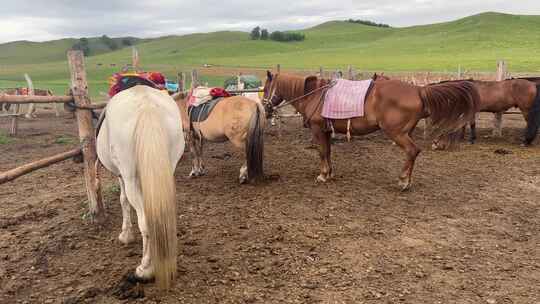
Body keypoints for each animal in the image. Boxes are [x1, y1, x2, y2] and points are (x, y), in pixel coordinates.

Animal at [95, 85, 184, 290]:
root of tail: (146, 103)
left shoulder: (122, 176)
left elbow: (123, 201)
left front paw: (126, 235)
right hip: (167, 169)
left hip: (130, 179)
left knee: (145, 221)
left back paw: (145, 269)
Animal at [264, 71, 478, 190]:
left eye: (266, 88)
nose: (265, 108)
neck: (314, 95)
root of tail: (418, 90)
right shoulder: (326, 131)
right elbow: (328, 152)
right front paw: (330, 173)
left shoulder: (317, 130)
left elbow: (322, 152)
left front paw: (323, 175)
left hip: (397, 133)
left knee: (412, 151)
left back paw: (403, 182)